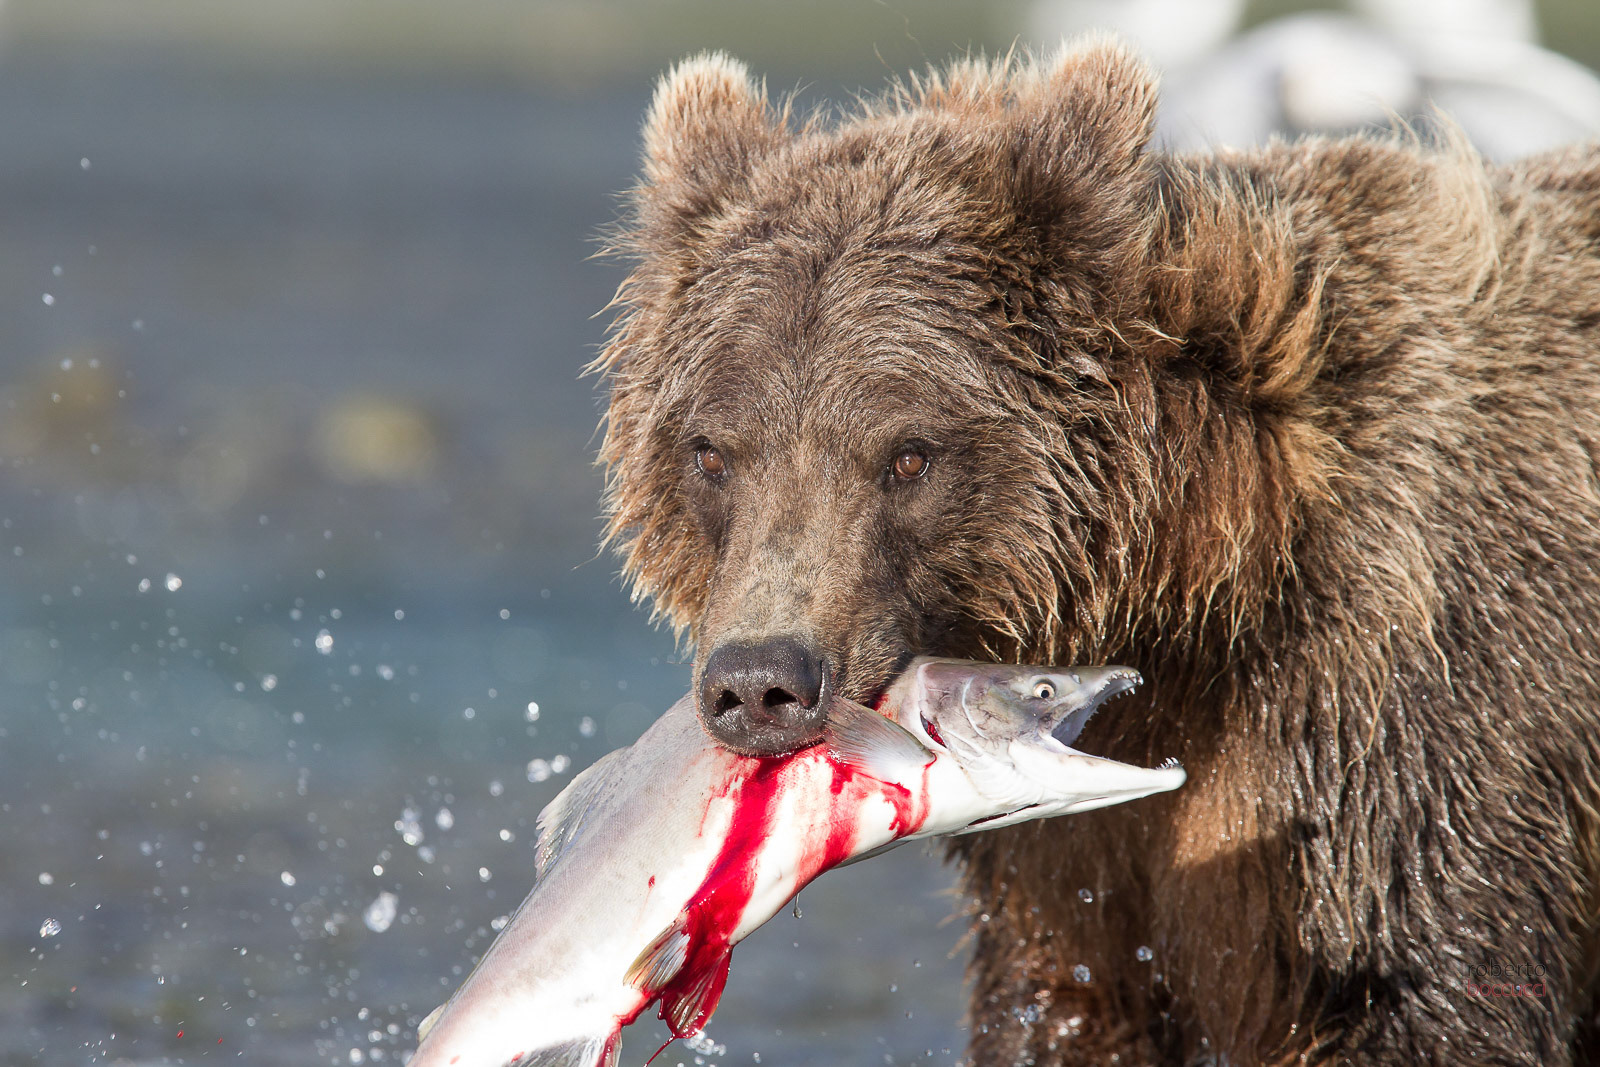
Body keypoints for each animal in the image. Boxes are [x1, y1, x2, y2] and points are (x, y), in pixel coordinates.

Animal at [591, 38, 1600, 1065]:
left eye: (908, 452)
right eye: (713, 450)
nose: (762, 680)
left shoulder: (1404, 720)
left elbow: (1424, 989)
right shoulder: (1073, 868)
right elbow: (1066, 1001)